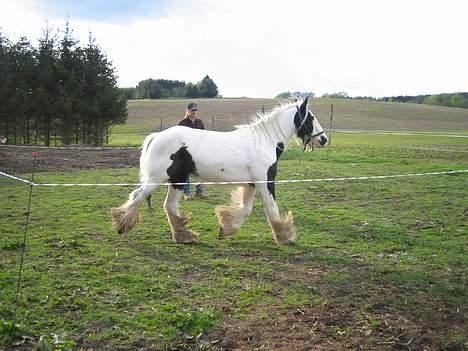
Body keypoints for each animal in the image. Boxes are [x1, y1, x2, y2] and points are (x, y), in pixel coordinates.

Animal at [111, 96, 328, 245]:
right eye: (311, 117)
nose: (324, 139)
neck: (264, 142)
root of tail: (155, 136)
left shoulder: (251, 184)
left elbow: (246, 209)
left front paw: (226, 228)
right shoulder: (265, 182)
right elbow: (272, 209)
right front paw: (286, 238)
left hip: (177, 179)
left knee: (169, 206)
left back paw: (185, 236)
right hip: (157, 178)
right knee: (138, 196)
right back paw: (122, 225)